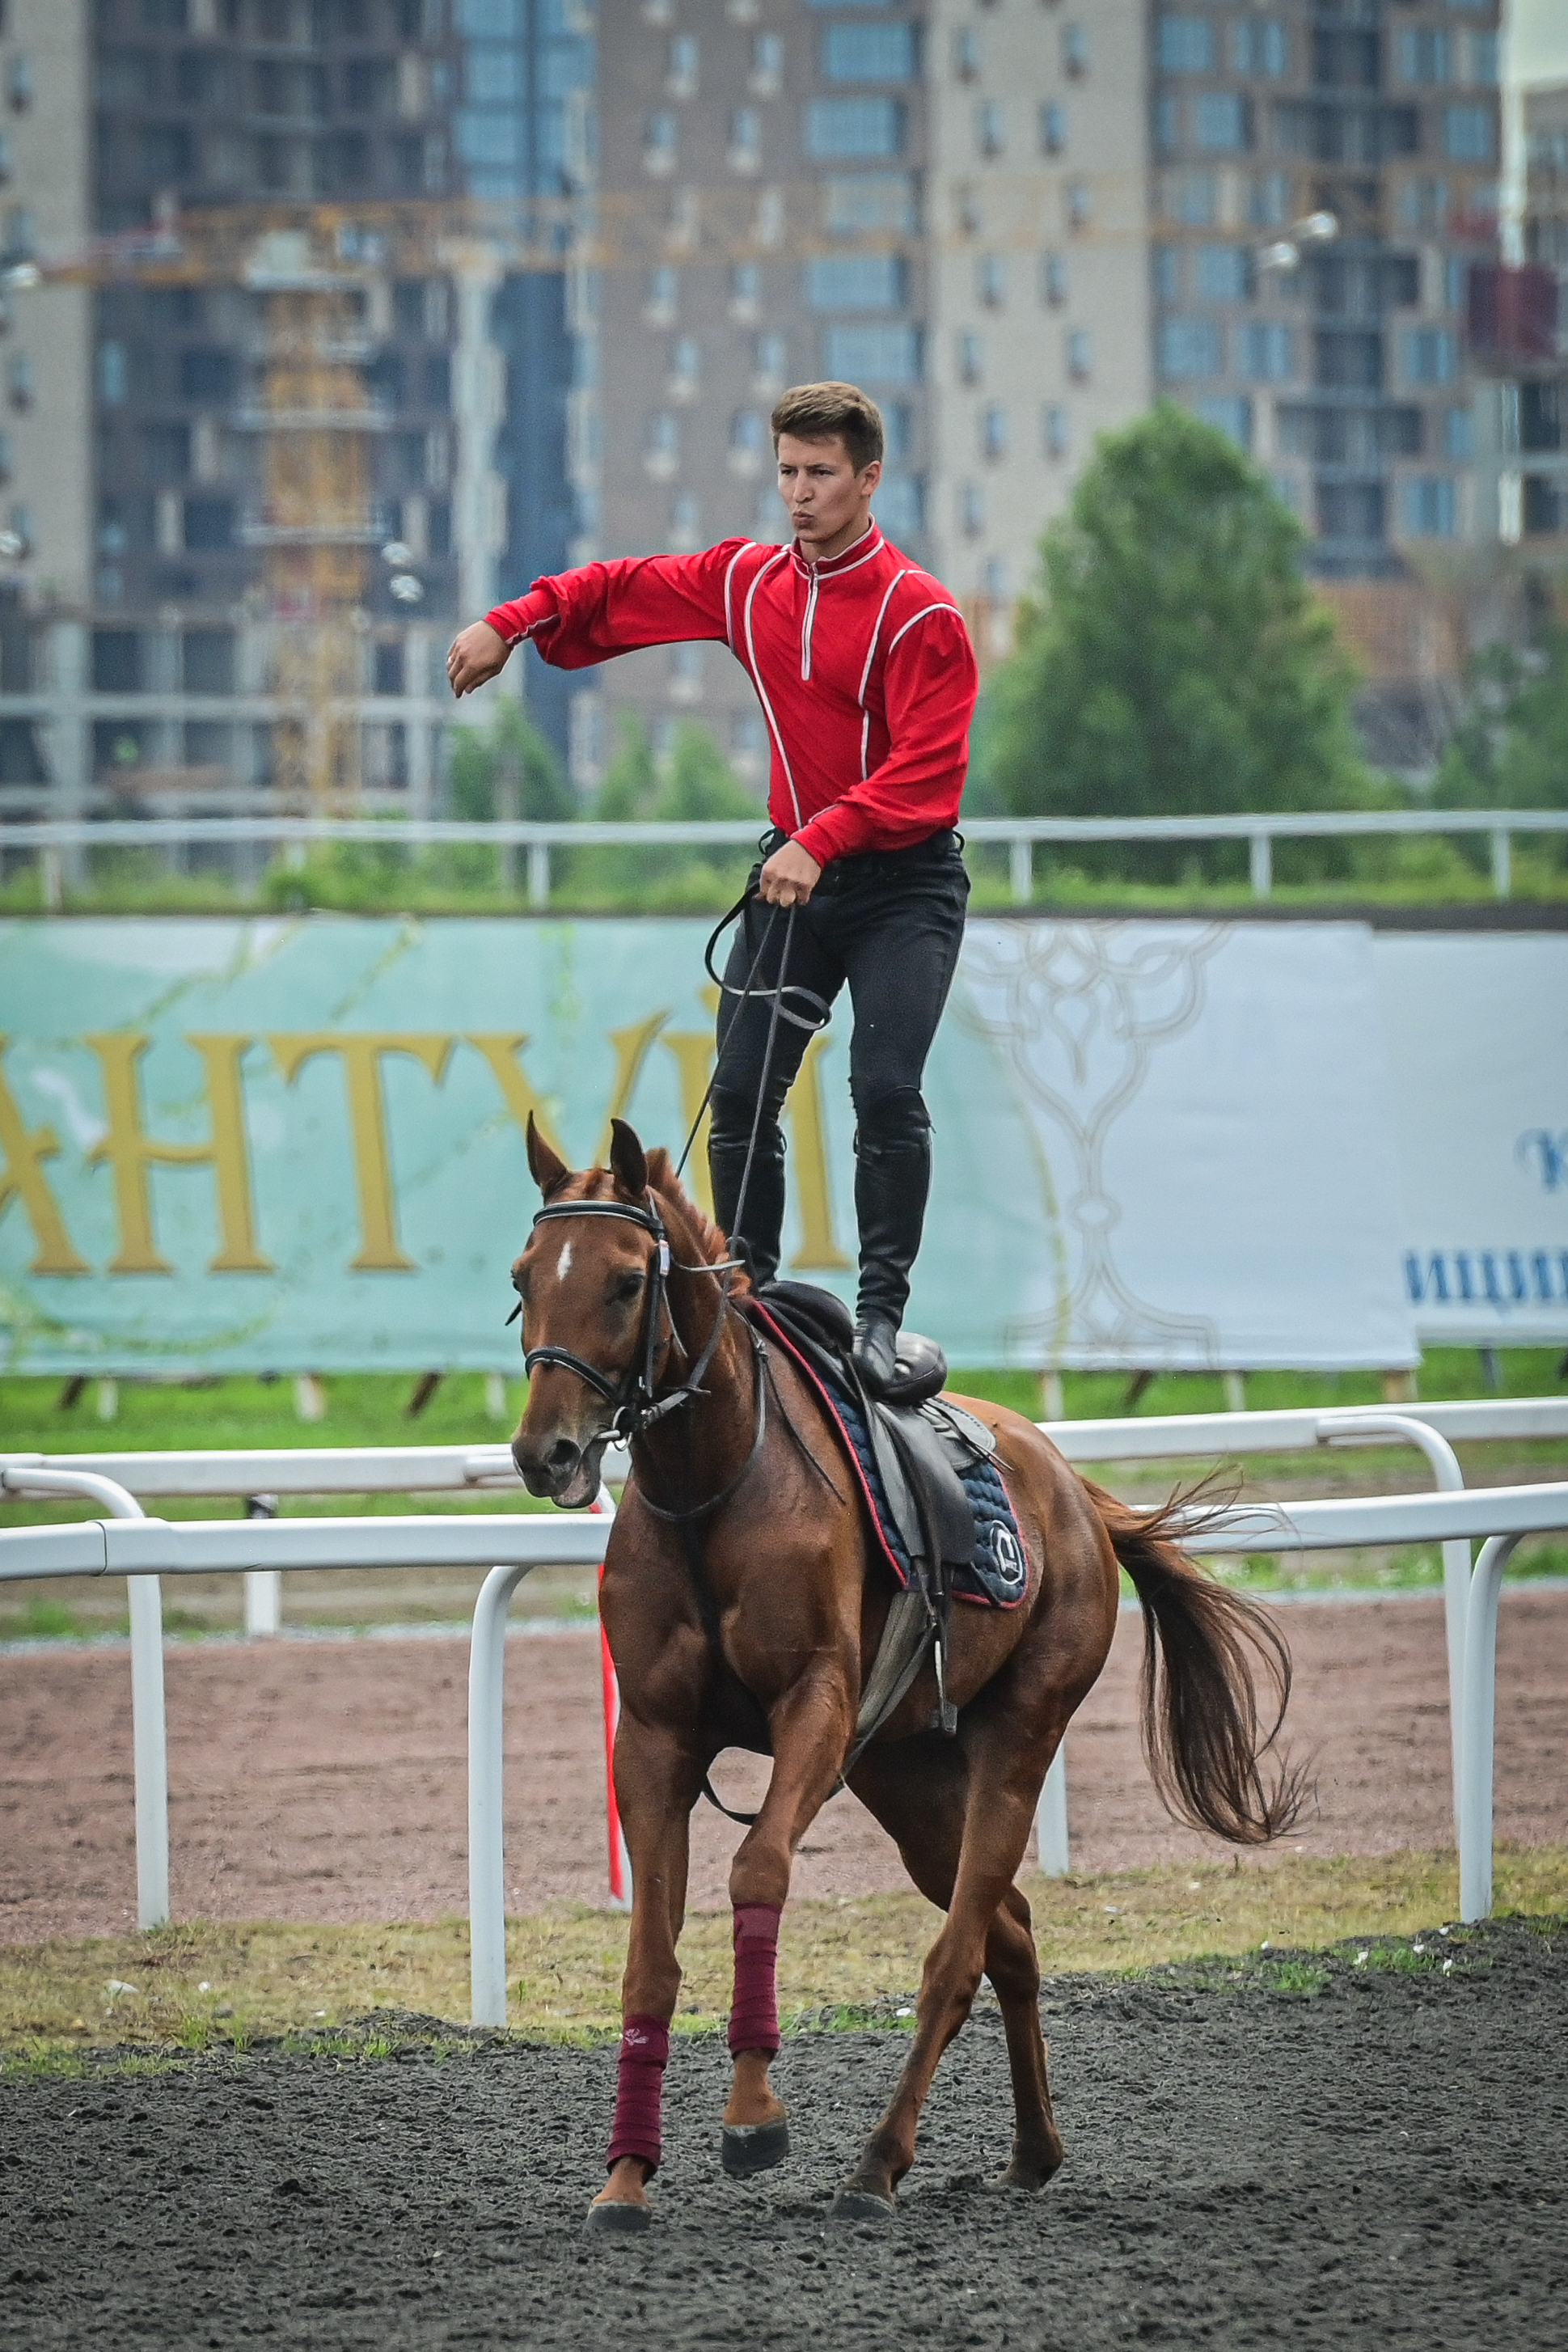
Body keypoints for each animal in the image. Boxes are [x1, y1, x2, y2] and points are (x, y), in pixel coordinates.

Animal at [512, 1110, 1297, 2229]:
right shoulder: (655, 1739)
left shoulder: (815, 1705)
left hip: (1018, 1734)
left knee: (958, 1952)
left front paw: (752, 2115)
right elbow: (648, 1962)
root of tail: (1072, 1490)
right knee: (1010, 1931)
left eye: (626, 1280)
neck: (715, 1482)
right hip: (906, 1774)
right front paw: (624, 2175)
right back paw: (1030, 2149)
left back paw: (876, 2163)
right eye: (524, 1275)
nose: (546, 1452)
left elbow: (758, 1868)